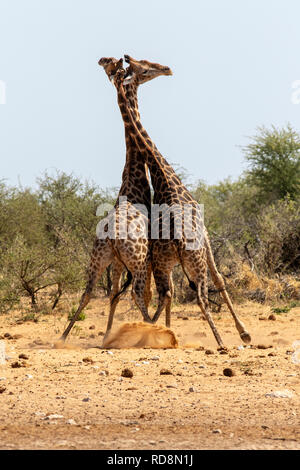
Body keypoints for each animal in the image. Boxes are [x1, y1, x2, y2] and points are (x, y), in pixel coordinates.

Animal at [59, 57, 172, 342]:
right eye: (146, 68)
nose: (166, 69)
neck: (133, 172)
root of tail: (111, 234)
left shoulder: (119, 263)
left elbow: (112, 295)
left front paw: (106, 335)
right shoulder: (149, 255)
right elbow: (148, 294)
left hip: (99, 258)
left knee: (89, 291)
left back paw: (63, 337)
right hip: (138, 260)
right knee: (138, 294)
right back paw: (153, 331)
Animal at [110, 56, 251, 348]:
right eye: (146, 66)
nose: (167, 69)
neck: (160, 172)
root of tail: (176, 238)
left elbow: (169, 293)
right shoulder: (206, 235)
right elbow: (220, 279)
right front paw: (244, 332)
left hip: (161, 263)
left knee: (159, 293)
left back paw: (154, 332)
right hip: (191, 260)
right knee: (199, 295)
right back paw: (220, 342)